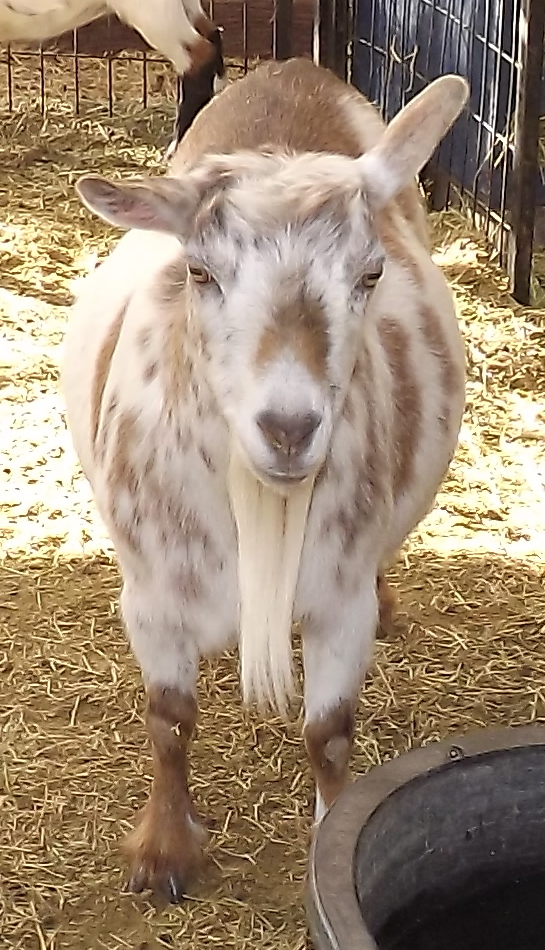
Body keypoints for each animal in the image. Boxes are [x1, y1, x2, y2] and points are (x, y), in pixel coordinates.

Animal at [61, 58, 469, 902]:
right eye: (199, 271)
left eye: (370, 273)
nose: (288, 427)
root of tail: (292, 68)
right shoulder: (151, 596)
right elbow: (169, 717)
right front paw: (164, 852)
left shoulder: (337, 599)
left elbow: (329, 733)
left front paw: (331, 836)